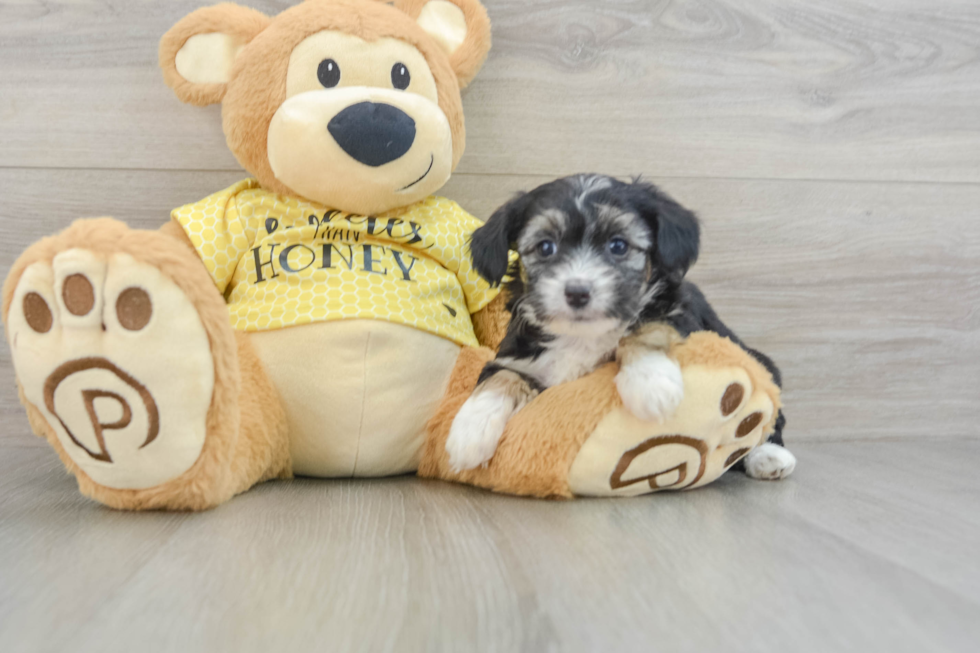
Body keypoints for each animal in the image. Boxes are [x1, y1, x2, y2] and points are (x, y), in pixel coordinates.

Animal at [446, 173, 796, 478]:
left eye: (618, 245)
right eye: (545, 247)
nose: (577, 292)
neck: (581, 337)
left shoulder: (681, 314)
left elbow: (646, 327)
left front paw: (650, 384)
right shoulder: (516, 355)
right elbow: (500, 378)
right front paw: (468, 434)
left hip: (761, 363)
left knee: (766, 421)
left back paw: (768, 456)